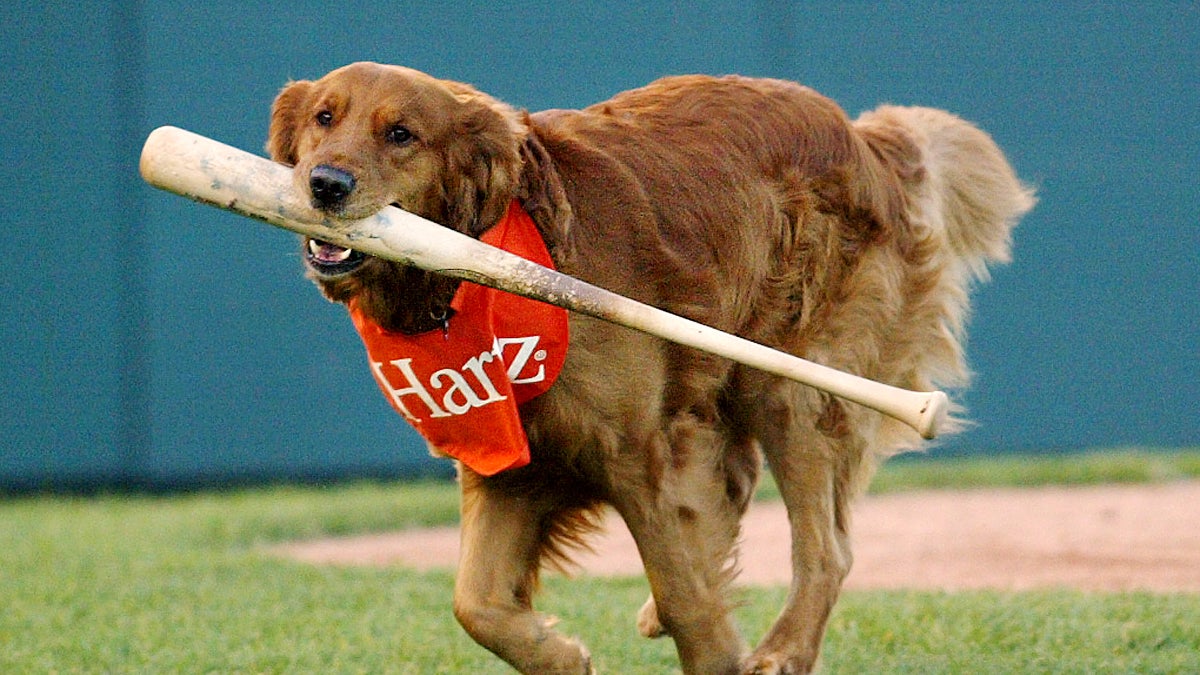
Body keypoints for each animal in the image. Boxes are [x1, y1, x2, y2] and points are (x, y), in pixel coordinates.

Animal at [267, 60, 1036, 667]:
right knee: (741, 482)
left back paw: (783, 649)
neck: (483, 266)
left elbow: (688, 591)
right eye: (323, 118)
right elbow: (475, 603)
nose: (325, 183)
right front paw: (559, 653)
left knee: (827, 548)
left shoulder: (639, 453)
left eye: (401, 134)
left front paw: (714, 650)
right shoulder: (510, 453)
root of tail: (867, 137)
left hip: (786, 379)